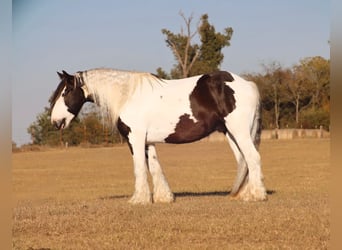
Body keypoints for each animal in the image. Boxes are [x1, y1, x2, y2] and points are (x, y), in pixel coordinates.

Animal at [49, 68, 268, 203]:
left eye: (65, 92)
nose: (55, 122)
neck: (127, 95)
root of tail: (248, 84)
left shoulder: (135, 138)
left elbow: (139, 167)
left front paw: (139, 199)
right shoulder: (148, 141)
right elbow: (154, 167)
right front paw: (164, 197)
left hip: (239, 131)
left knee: (253, 158)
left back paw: (257, 195)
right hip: (231, 133)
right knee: (244, 161)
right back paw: (245, 193)